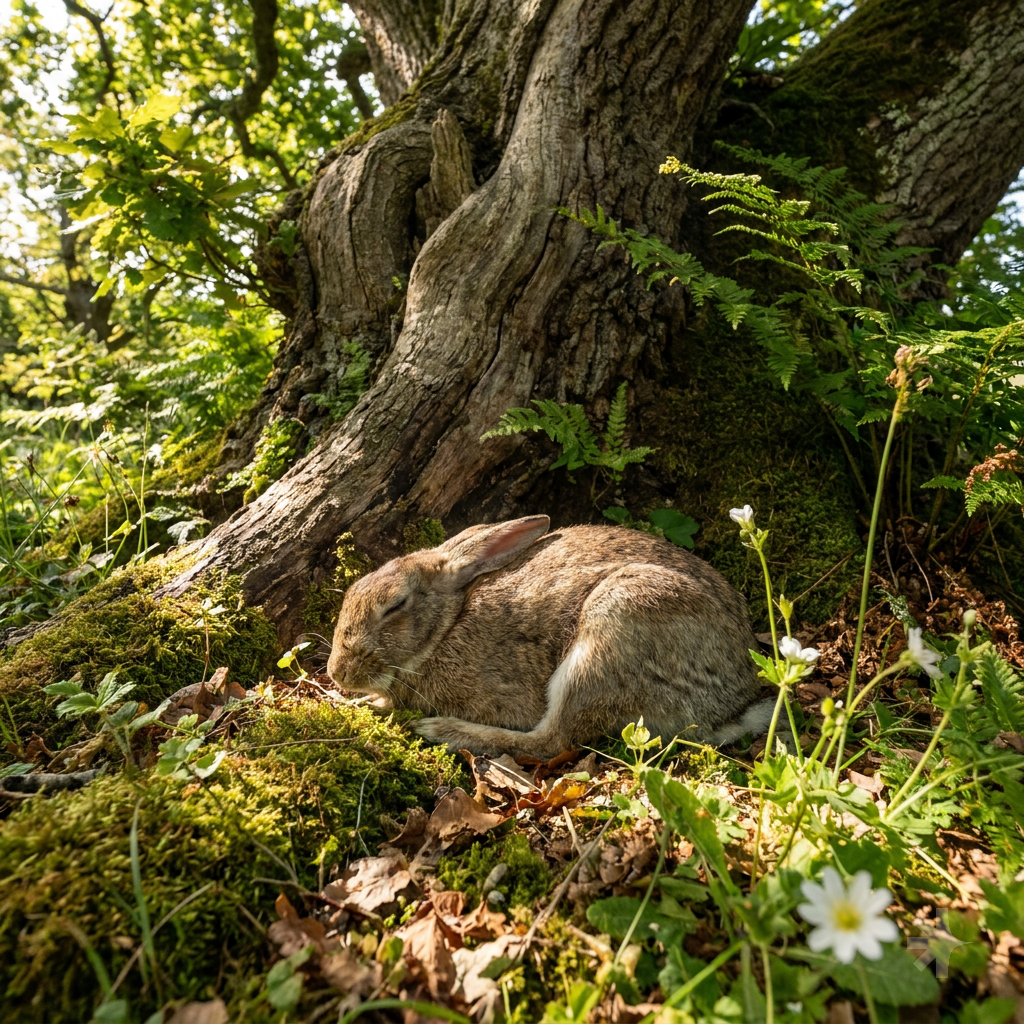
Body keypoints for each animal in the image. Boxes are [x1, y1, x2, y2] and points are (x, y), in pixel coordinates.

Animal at [326, 514, 774, 760]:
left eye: (395, 605)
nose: (337, 673)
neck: (447, 625)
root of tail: (730, 706)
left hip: (610, 633)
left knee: (553, 741)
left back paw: (444, 731)